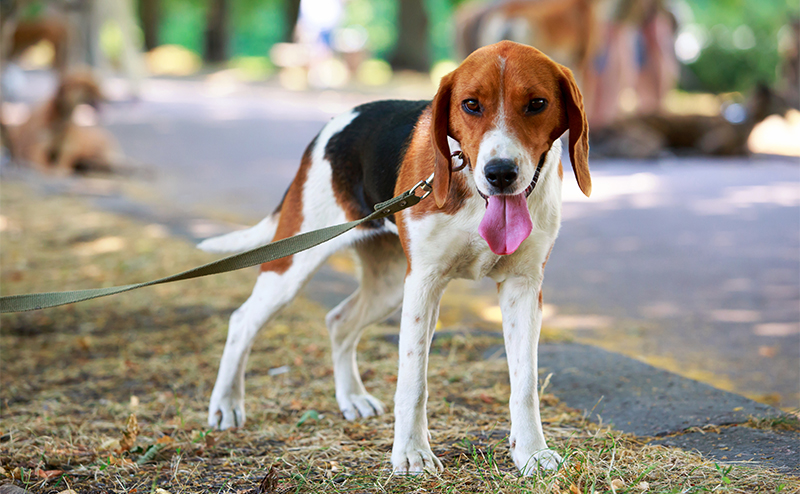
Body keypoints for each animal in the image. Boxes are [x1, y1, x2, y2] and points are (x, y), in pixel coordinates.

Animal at [197, 42, 592, 474]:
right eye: (471, 105)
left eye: (537, 103)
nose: (500, 173)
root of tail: (332, 126)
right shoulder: (423, 283)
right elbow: (413, 382)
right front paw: (412, 453)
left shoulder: (523, 286)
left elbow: (524, 384)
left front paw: (532, 453)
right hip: (295, 266)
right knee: (242, 320)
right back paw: (226, 404)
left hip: (387, 287)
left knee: (339, 321)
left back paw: (351, 397)